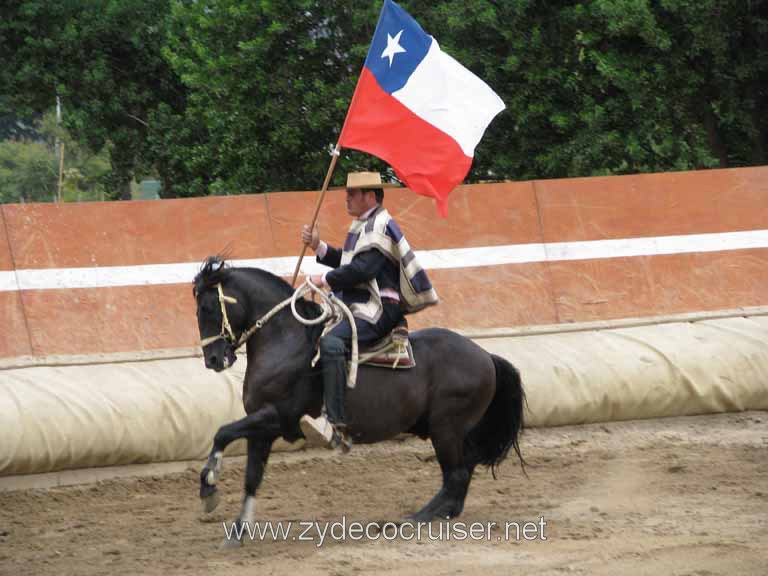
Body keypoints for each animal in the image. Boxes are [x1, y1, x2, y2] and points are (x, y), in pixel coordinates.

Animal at [195, 255, 524, 544]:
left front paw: (209, 485)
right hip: (451, 432)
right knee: (463, 472)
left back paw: (417, 518)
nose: (213, 359)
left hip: (446, 430)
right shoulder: (261, 431)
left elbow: (222, 432)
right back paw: (441, 513)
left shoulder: (278, 417)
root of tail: (487, 356)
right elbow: (251, 477)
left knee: (455, 475)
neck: (286, 342)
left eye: (208, 307)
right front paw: (237, 531)